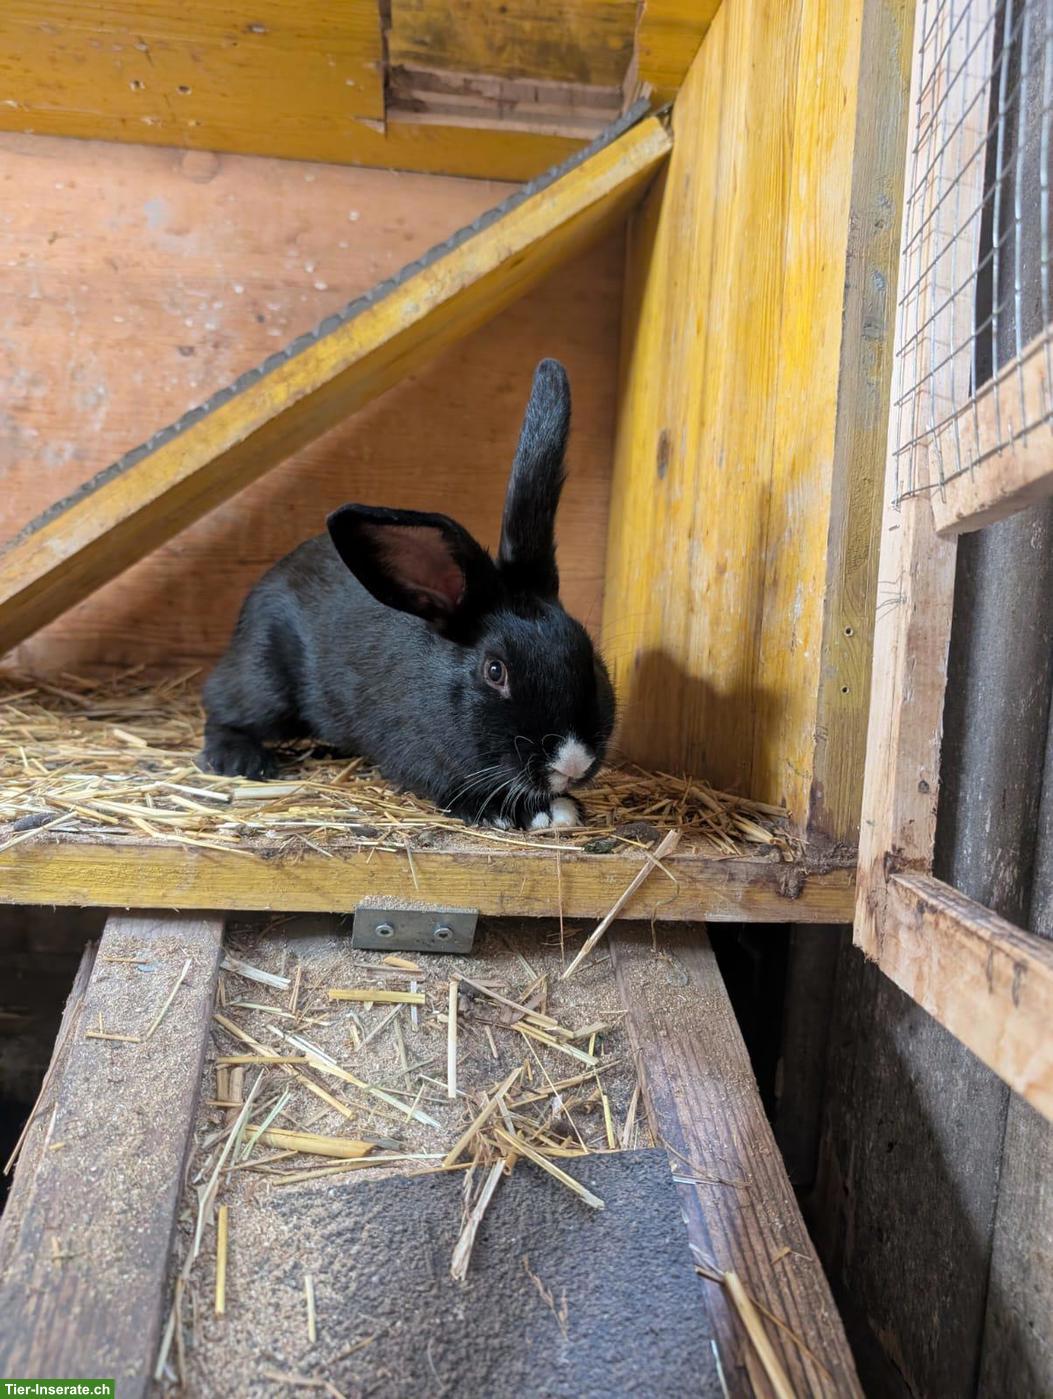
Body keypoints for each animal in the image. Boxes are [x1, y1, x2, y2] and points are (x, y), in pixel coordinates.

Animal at [199, 358, 616, 830]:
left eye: (590, 655)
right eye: (495, 671)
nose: (573, 762)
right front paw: (538, 812)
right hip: (266, 682)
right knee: (223, 706)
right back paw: (239, 759)